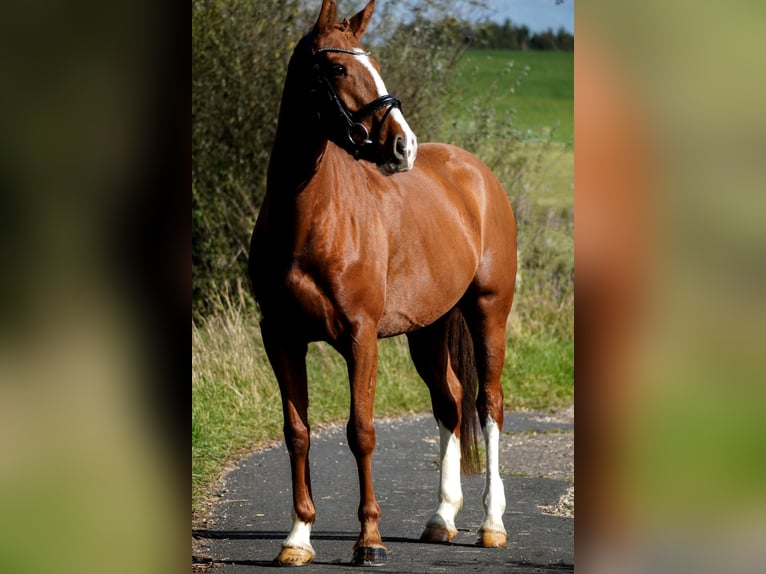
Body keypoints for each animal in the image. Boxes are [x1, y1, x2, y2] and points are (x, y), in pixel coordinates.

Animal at [249, 0, 520, 568]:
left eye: (372, 63)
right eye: (336, 67)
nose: (403, 145)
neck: (310, 220)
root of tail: (475, 173)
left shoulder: (360, 337)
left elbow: (362, 432)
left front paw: (369, 539)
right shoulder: (280, 337)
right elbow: (297, 432)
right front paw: (297, 537)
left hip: (488, 312)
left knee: (488, 404)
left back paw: (491, 524)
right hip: (429, 328)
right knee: (450, 402)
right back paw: (441, 518)